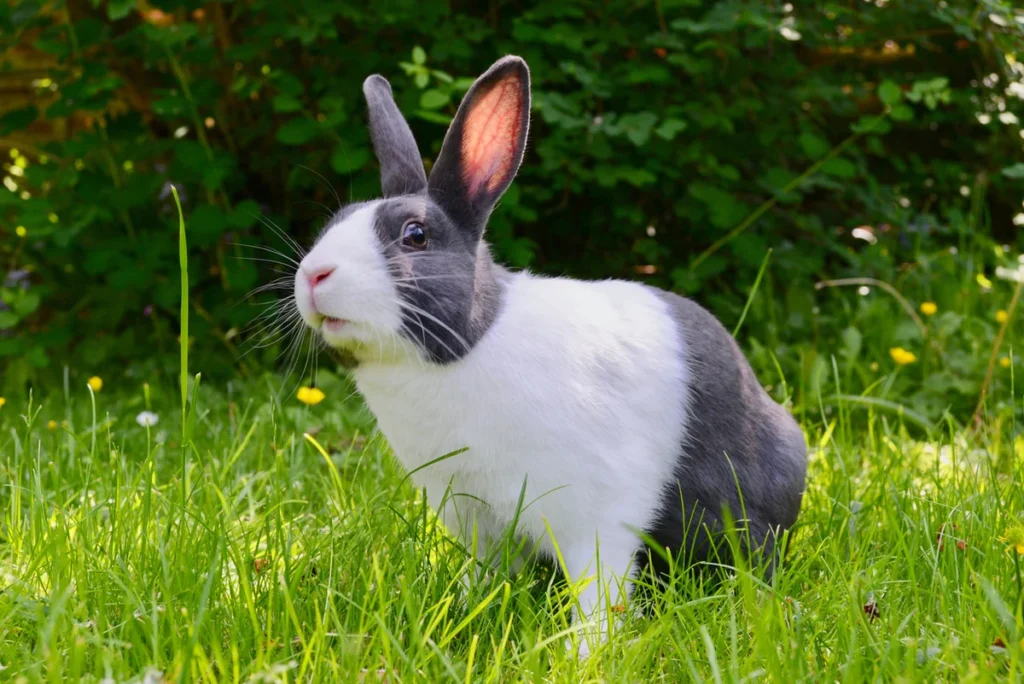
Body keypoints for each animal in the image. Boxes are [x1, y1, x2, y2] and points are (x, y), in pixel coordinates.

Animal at [292, 55, 807, 657]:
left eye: (414, 235)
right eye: (335, 222)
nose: (313, 275)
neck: (468, 348)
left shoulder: (594, 513)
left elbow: (599, 587)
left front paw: (586, 652)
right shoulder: (472, 513)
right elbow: (485, 574)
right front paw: (464, 613)